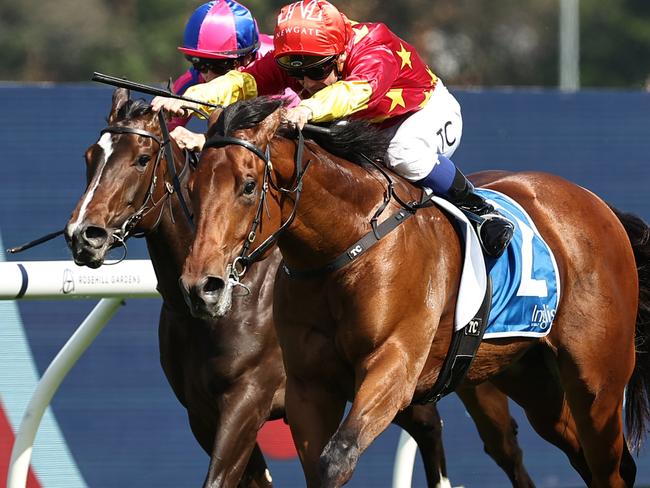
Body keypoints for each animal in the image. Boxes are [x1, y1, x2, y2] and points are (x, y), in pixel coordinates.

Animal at [177, 96, 648, 488]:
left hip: (597, 382)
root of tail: (598, 205)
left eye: (247, 185)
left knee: (611, 467)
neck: (346, 244)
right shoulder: (308, 385)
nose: (202, 286)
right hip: (532, 378)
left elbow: (337, 459)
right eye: (193, 187)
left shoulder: (394, 366)